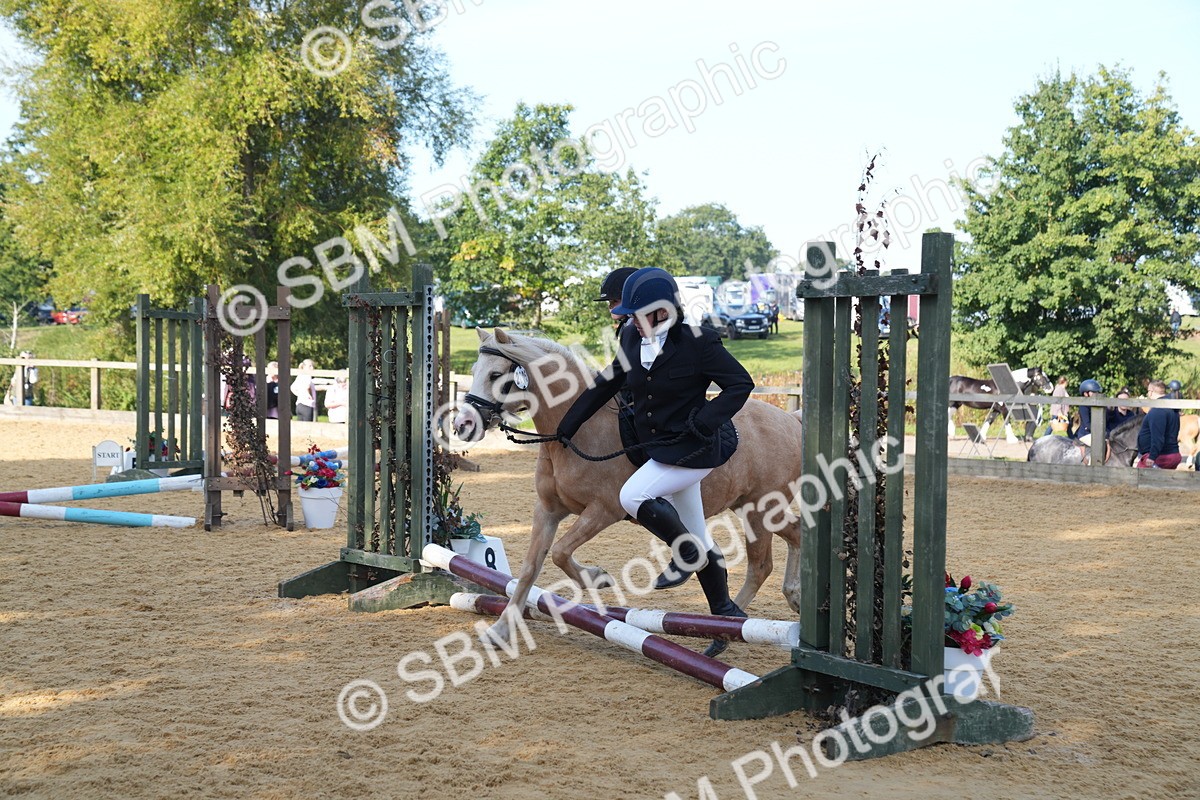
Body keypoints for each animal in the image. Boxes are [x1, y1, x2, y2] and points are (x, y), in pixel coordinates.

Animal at [451, 328, 806, 644]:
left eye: (496, 375)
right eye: (474, 372)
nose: (462, 425)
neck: (575, 432)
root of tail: (792, 420)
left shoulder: (603, 510)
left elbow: (562, 552)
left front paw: (597, 578)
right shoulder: (548, 510)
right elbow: (530, 568)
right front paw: (500, 631)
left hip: (760, 508)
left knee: (760, 566)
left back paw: (728, 629)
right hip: (751, 506)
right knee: (793, 532)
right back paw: (784, 599)